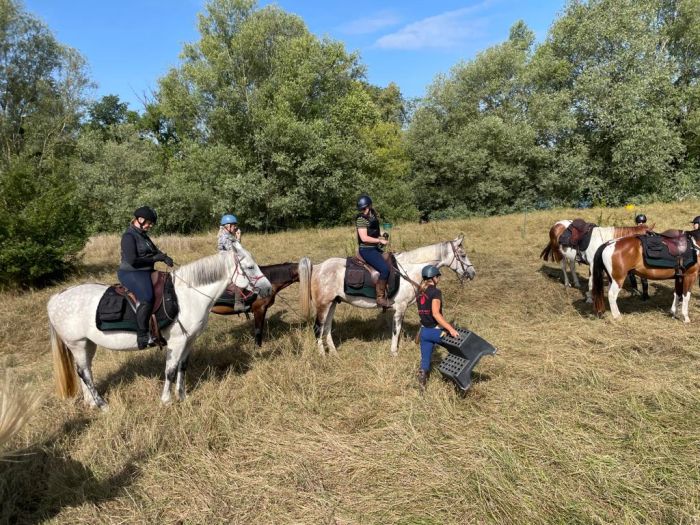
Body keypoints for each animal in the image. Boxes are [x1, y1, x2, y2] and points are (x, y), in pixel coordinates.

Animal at [47, 243, 272, 410]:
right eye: (250, 267)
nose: (268, 289)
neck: (187, 296)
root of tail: (56, 298)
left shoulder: (189, 341)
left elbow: (182, 367)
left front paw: (182, 396)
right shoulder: (177, 342)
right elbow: (170, 371)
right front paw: (166, 401)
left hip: (87, 344)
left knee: (84, 371)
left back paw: (91, 402)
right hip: (76, 343)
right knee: (84, 373)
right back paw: (102, 405)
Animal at [298, 234, 478, 354]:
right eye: (462, 255)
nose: (472, 273)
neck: (409, 269)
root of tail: (318, 267)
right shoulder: (400, 307)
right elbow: (396, 330)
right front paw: (394, 352)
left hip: (333, 303)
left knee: (327, 328)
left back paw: (334, 353)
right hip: (323, 305)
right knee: (318, 328)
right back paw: (323, 355)